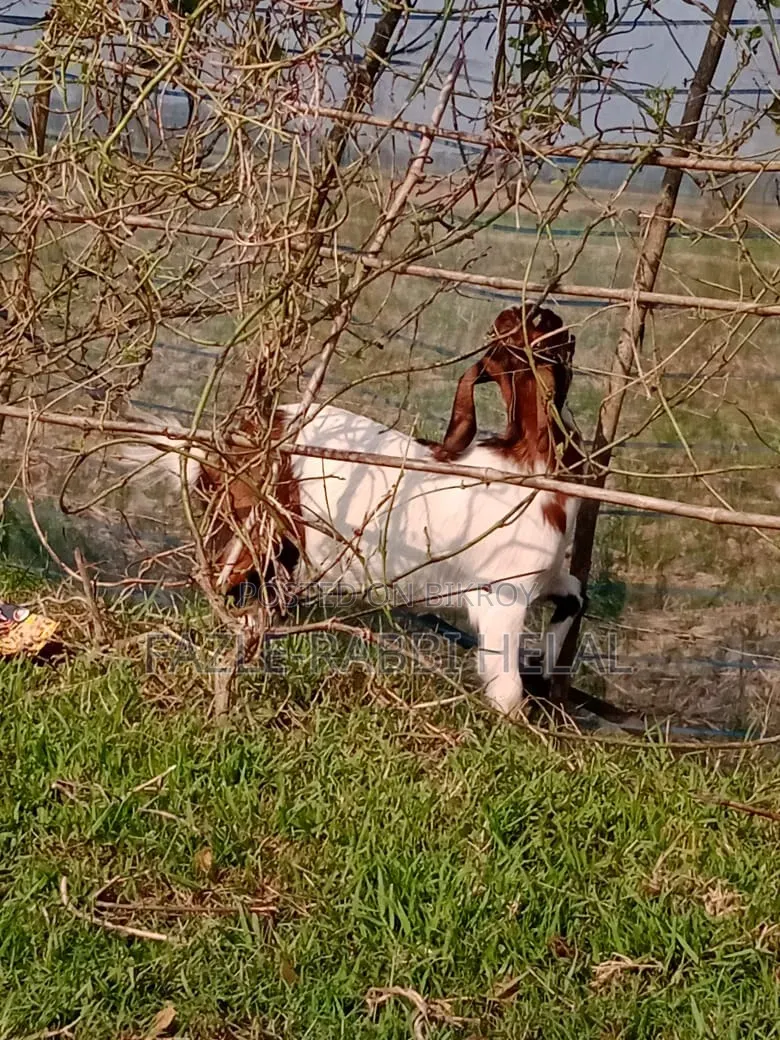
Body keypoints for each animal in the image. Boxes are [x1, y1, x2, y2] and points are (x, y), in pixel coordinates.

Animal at [120, 305, 586, 717]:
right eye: (547, 329)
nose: (563, 322)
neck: (531, 460)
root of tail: (222, 448)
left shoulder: (546, 577)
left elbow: (576, 594)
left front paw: (547, 666)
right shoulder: (502, 595)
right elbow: (505, 686)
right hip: (256, 527)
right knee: (217, 578)